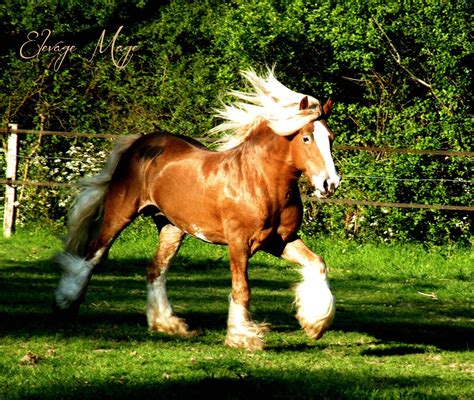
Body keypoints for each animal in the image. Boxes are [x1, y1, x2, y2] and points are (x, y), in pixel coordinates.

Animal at [52, 69, 340, 350]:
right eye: (306, 138)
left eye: (330, 139)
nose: (330, 184)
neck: (260, 180)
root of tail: (139, 143)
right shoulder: (239, 242)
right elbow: (242, 288)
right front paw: (243, 338)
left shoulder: (280, 240)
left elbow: (318, 264)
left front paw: (315, 324)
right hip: (120, 212)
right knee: (93, 256)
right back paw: (65, 304)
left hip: (171, 226)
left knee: (155, 269)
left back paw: (167, 323)